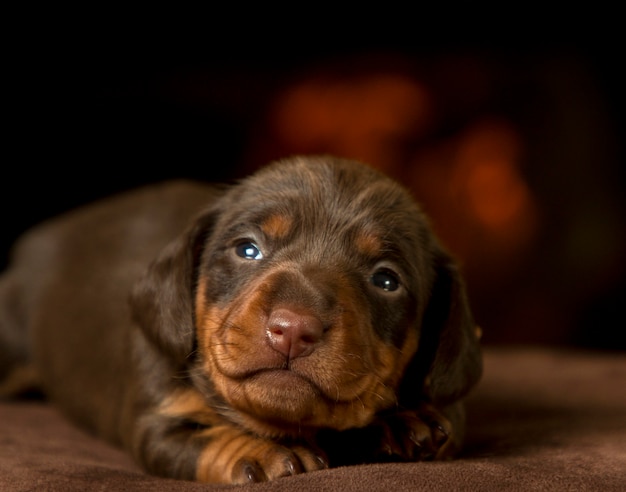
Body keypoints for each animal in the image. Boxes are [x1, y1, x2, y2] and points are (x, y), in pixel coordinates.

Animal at [0, 156, 480, 482]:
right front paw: (259, 452)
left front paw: (405, 420)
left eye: (386, 280)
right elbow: (204, 437)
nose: (293, 330)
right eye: (248, 249)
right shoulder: (157, 418)